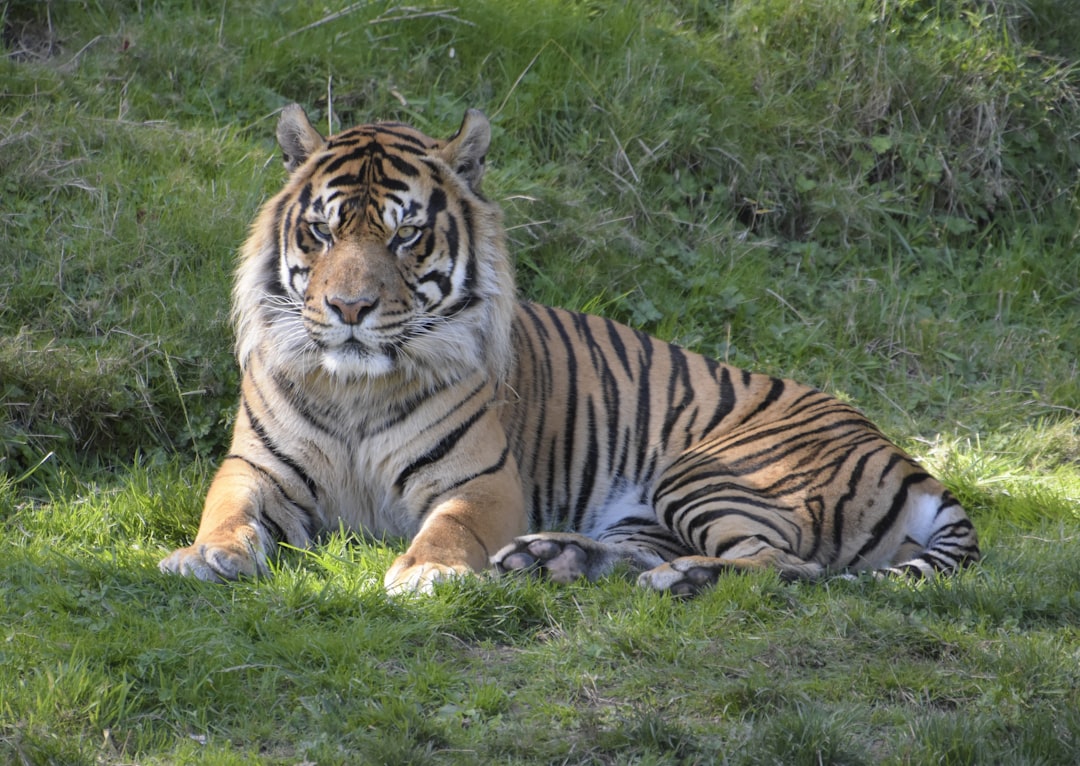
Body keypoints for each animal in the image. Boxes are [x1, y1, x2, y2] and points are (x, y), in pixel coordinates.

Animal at [159, 103, 980, 596]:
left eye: (406, 235)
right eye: (322, 231)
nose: (350, 308)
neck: (355, 387)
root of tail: (898, 451)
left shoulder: (483, 480)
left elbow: (450, 527)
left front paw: (427, 575)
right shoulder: (255, 469)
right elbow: (224, 511)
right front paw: (202, 556)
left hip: (713, 473)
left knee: (784, 564)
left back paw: (683, 580)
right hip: (647, 510)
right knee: (652, 554)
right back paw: (550, 557)